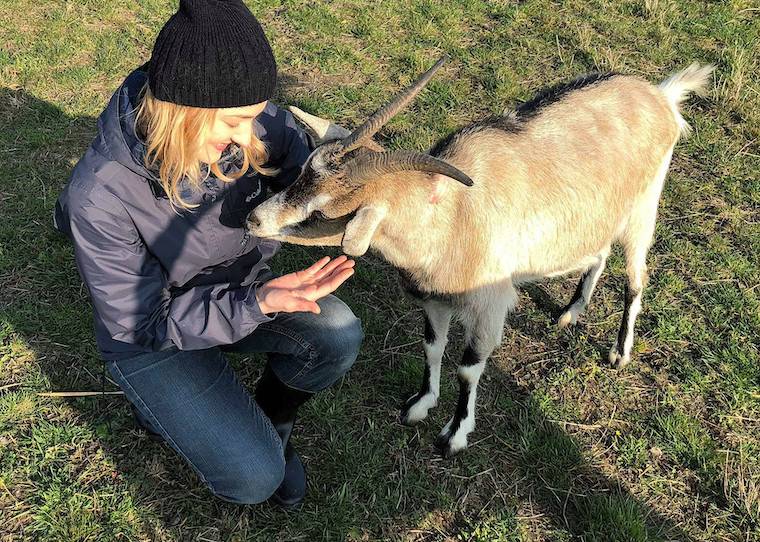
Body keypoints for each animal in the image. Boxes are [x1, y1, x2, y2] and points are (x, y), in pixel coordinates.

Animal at [247, 57, 714, 457]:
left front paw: (454, 435)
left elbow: (468, 369)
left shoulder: (489, 306)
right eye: (300, 172)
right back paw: (570, 313)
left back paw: (619, 352)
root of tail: (662, 96)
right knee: (597, 254)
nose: (254, 219)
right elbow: (432, 347)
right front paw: (420, 405)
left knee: (637, 277)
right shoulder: (435, 301)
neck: (452, 213)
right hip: (598, 216)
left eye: (324, 212)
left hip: (642, 212)